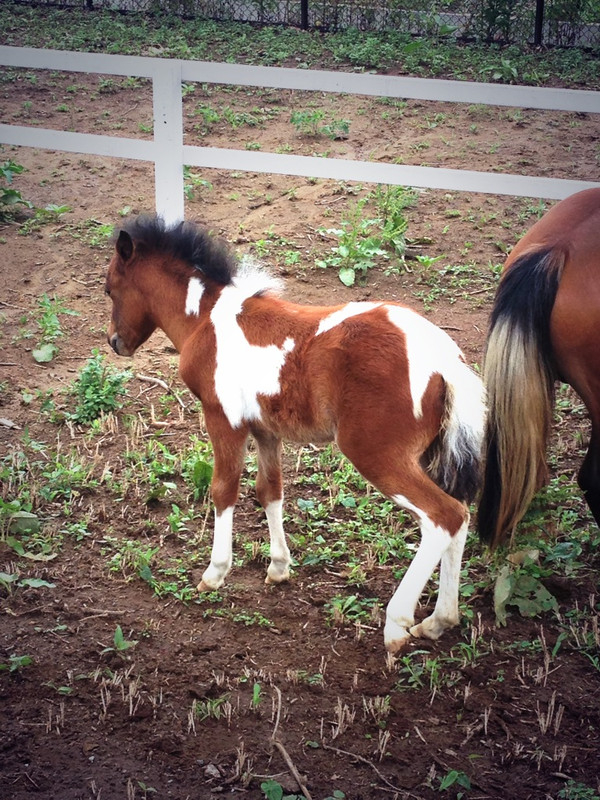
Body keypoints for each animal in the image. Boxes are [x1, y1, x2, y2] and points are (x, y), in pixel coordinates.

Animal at [105, 216, 486, 652]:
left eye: (110, 288)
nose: (115, 342)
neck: (206, 319)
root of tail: (445, 358)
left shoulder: (223, 419)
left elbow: (223, 490)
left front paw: (215, 573)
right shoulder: (266, 430)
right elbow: (269, 491)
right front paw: (278, 566)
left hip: (375, 453)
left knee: (444, 516)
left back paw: (398, 622)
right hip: (426, 454)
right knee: (460, 515)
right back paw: (438, 621)